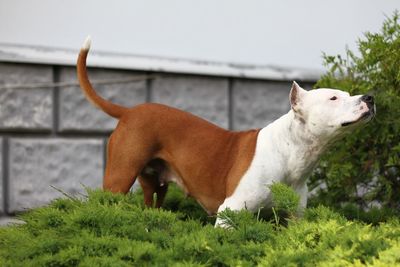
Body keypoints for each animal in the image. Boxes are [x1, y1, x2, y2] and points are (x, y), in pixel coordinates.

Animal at [76, 37, 376, 226]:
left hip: (155, 184)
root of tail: (129, 111)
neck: (291, 152)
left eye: (348, 94)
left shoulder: (294, 219)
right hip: (119, 178)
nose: (371, 97)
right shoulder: (230, 212)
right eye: (333, 98)